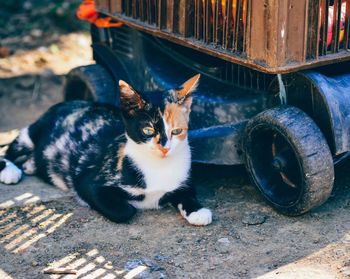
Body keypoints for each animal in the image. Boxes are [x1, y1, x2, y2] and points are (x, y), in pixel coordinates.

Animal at [0, 75, 212, 228]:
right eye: (148, 130)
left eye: (177, 131)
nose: (165, 147)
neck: (158, 167)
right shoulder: (88, 180)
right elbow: (123, 211)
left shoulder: (182, 180)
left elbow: (186, 193)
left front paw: (197, 211)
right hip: (34, 131)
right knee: (12, 148)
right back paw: (11, 169)